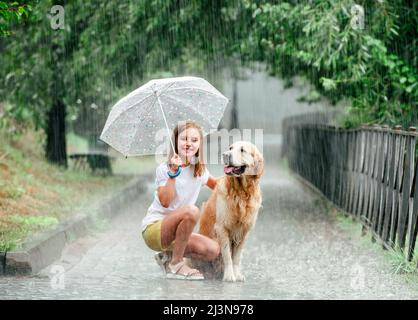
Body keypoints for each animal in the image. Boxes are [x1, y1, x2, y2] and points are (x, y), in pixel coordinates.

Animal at [193, 141, 262, 282]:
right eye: (230, 148)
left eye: (242, 150)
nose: (225, 155)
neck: (241, 192)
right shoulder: (221, 227)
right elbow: (227, 255)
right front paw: (229, 275)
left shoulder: (243, 231)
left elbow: (236, 257)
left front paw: (237, 274)